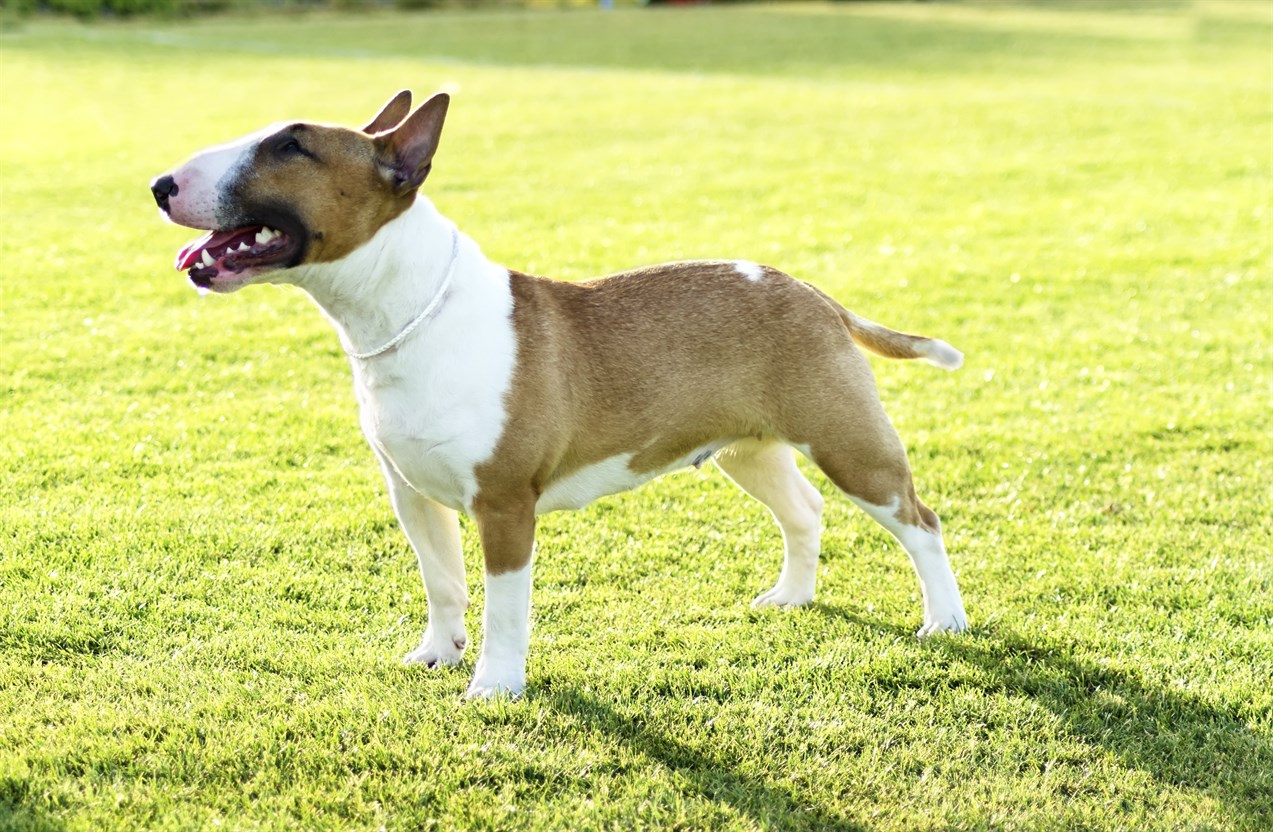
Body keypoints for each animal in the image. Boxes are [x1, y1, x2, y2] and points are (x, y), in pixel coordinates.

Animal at [151, 89, 962, 697]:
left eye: (291, 147)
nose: (161, 186)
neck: (405, 311)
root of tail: (813, 294)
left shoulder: (505, 504)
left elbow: (505, 607)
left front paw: (494, 686)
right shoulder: (410, 491)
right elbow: (442, 582)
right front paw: (438, 653)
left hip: (846, 442)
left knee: (919, 520)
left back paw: (944, 621)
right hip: (748, 449)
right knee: (804, 510)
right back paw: (791, 597)